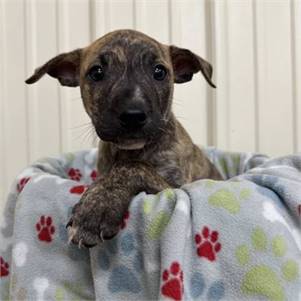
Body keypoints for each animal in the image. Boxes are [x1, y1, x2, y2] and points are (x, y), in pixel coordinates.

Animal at [25, 29, 220, 247]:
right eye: (97, 72)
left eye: (159, 72)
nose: (133, 115)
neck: (132, 150)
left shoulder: (176, 191)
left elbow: (132, 167)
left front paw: (96, 208)